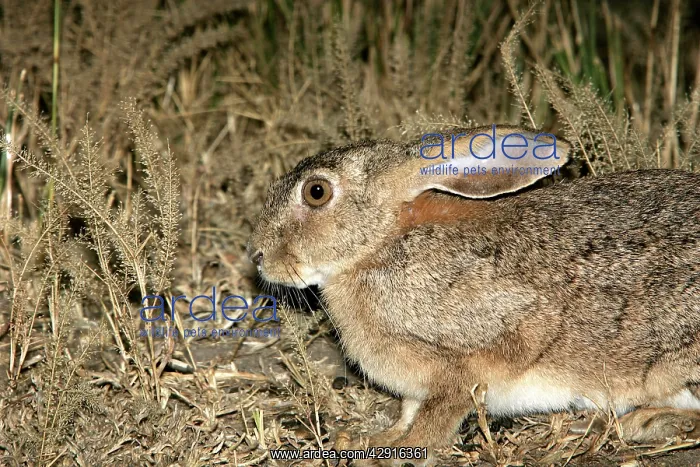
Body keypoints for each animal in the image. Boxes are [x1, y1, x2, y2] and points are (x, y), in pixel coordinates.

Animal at [247, 125, 700, 465]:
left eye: (316, 192)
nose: (258, 257)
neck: (380, 245)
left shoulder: (477, 352)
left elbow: (441, 411)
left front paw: (402, 451)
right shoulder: (417, 384)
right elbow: (409, 408)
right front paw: (379, 437)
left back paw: (642, 423)